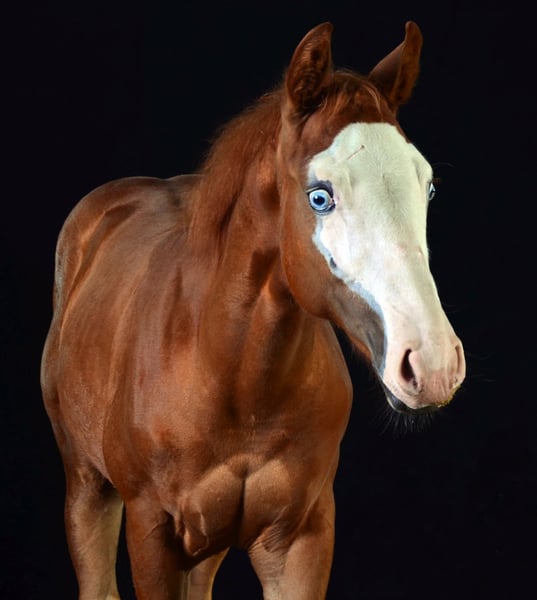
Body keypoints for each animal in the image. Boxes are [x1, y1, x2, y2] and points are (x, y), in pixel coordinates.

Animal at [41, 21, 465, 600]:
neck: (232, 377)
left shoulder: (300, 539)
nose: (433, 363)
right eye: (319, 196)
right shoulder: (152, 534)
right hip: (87, 489)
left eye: (428, 186)